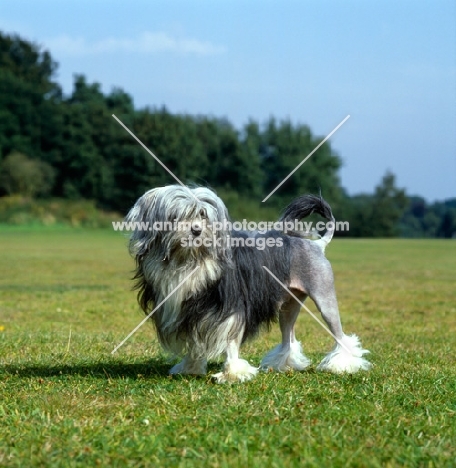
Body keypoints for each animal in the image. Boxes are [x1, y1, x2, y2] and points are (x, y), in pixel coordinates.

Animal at [125, 185, 370, 382]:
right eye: (176, 216)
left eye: (204, 215)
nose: (196, 230)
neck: (189, 261)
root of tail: (317, 245)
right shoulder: (190, 310)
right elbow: (195, 342)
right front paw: (191, 368)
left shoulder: (230, 308)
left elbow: (231, 341)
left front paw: (233, 374)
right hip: (288, 306)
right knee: (288, 338)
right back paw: (282, 364)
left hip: (324, 298)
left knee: (340, 335)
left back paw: (342, 364)